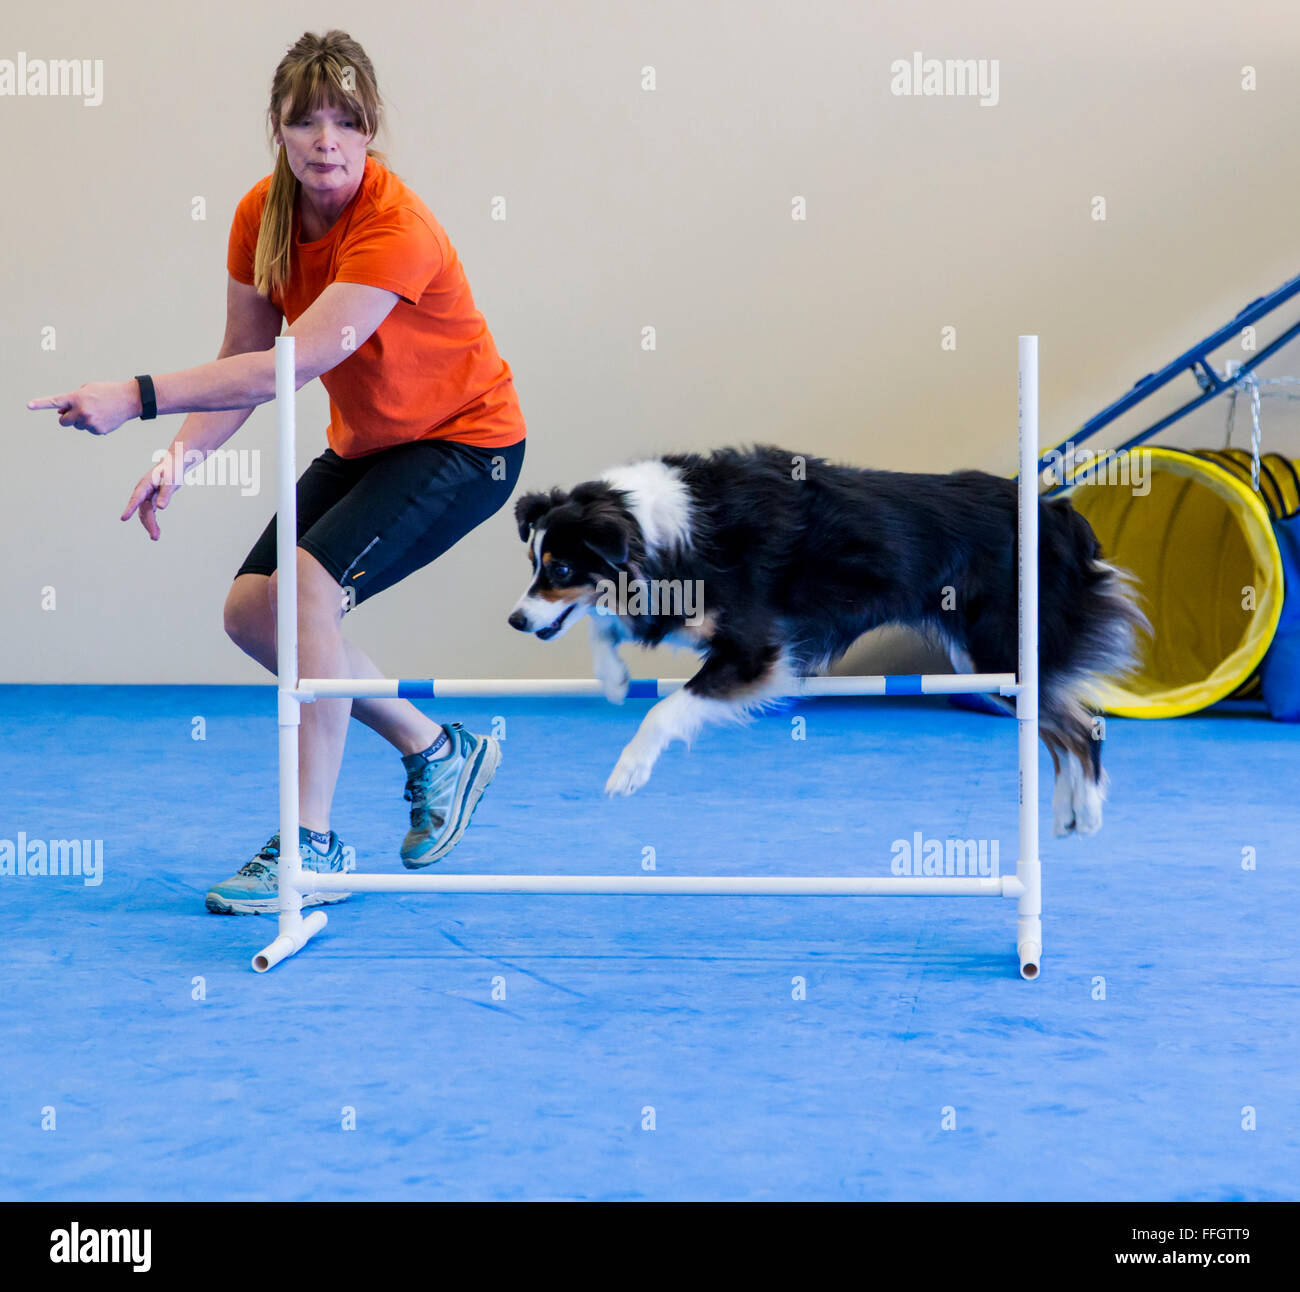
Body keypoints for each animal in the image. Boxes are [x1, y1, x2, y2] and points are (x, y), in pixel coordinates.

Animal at [506, 441, 1149, 837]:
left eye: (561, 569)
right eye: (533, 564)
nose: (515, 620)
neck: (652, 525)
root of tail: (1056, 512)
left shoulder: (756, 651)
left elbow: (664, 709)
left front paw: (629, 769)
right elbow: (608, 623)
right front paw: (614, 680)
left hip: (1002, 652)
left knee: (1085, 723)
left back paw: (1088, 810)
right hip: (994, 665)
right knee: (1064, 726)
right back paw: (1068, 813)